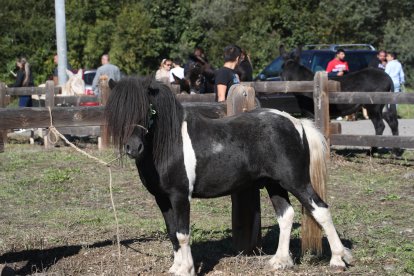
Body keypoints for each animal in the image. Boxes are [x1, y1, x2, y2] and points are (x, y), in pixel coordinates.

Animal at [104, 76, 352, 274]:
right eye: (117, 111)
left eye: (148, 110)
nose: (133, 148)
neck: (169, 144)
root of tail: (296, 122)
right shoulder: (162, 199)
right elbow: (172, 232)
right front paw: (175, 267)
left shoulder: (180, 196)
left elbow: (183, 234)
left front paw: (186, 269)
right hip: (274, 183)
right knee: (286, 215)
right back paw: (280, 261)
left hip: (296, 181)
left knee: (320, 209)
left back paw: (338, 259)